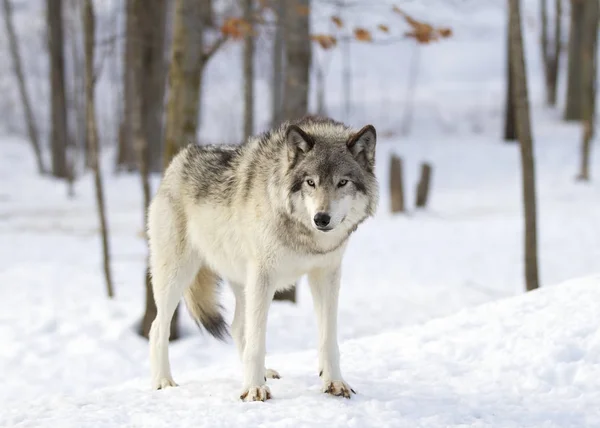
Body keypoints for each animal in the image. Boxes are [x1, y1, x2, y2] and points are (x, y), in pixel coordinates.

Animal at [147, 114, 378, 402]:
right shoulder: (263, 276)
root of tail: (178, 160)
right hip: (177, 277)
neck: (304, 236)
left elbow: (328, 339)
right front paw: (254, 389)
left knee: (237, 326)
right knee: (158, 327)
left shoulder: (326, 274)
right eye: (310, 182)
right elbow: (257, 342)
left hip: (241, 283)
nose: (321, 218)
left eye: (342, 182)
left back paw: (265, 372)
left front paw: (334, 382)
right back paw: (163, 381)